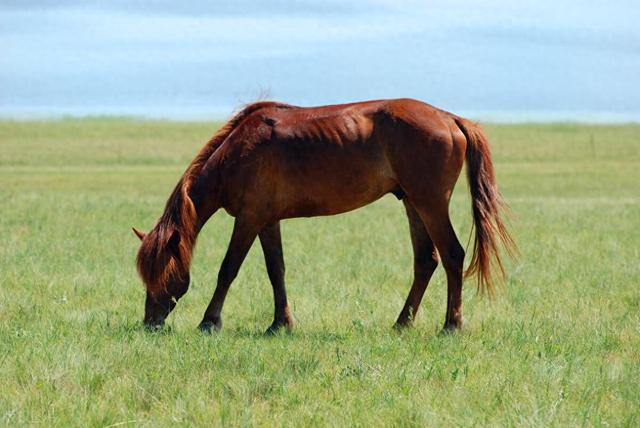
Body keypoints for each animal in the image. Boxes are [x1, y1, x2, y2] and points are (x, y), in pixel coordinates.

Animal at [131, 98, 516, 332]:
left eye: (163, 272)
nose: (151, 322)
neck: (238, 153)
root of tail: (451, 118)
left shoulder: (249, 219)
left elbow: (228, 270)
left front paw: (209, 322)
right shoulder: (267, 221)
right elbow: (276, 270)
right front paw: (280, 324)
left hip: (430, 202)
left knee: (452, 256)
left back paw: (451, 325)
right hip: (413, 203)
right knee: (426, 261)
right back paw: (401, 323)